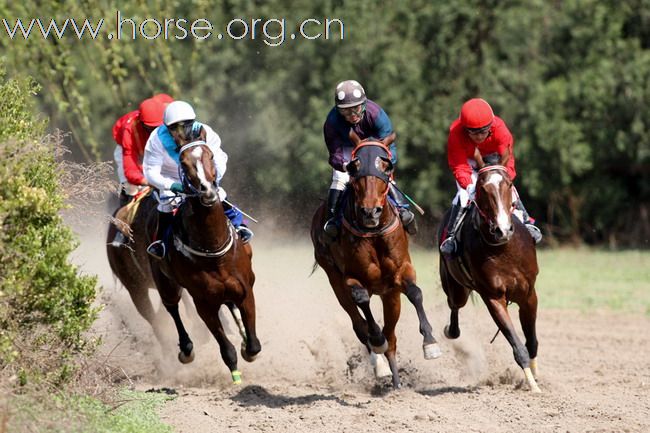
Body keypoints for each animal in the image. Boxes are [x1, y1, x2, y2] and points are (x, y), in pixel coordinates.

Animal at [310, 132, 440, 388]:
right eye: (354, 165)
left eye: (386, 165)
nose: (370, 212)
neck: (374, 232)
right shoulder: (351, 278)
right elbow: (363, 304)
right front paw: (377, 341)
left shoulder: (402, 271)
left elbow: (416, 293)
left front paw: (430, 343)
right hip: (335, 281)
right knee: (361, 325)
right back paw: (380, 364)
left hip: (390, 295)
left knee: (392, 335)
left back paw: (396, 381)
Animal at [438, 158, 540, 392]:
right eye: (483, 189)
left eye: (509, 184)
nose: (502, 230)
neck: (504, 249)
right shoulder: (493, 297)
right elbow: (518, 347)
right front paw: (534, 387)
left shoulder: (529, 294)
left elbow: (531, 343)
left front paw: (537, 379)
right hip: (456, 287)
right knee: (454, 306)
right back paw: (450, 330)